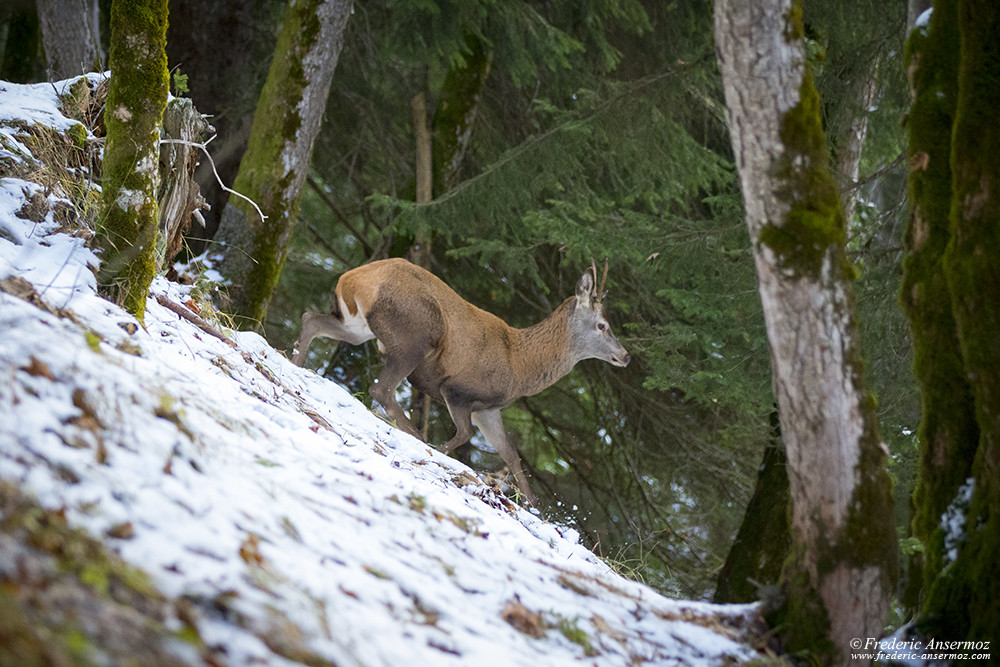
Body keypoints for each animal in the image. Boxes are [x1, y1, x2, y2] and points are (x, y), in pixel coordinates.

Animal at [292, 258, 632, 506]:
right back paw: (415, 434)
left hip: (358, 325)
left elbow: (510, 452)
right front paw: (439, 451)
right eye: (603, 325)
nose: (626, 356)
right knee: (382, 387)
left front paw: (535, 506)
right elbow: (465, 434)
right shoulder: (457, 390)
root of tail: (354, 278)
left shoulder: (488, 409)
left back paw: (294, 364)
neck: (519, 365)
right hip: (416, 334)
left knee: (311, 319)